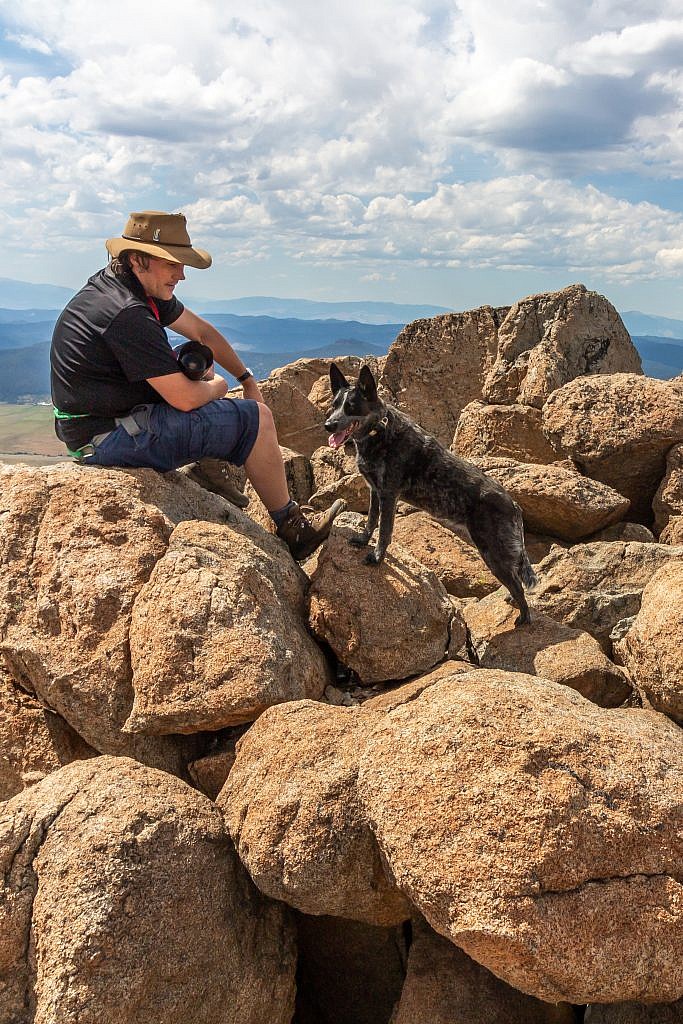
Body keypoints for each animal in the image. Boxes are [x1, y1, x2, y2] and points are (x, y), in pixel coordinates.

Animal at [325, 364, 540, 626]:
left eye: (351, 407)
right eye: (335, 404)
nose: (328, 425)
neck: (380, 432)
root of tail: (514, 505)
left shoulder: (388, 494)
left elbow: (384, 532)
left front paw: (376, 557)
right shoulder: (375, 491)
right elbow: (371, 521)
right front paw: (363, 540)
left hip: (493, 553)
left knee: (517, 585)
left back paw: (524, 618)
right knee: (515, 578)